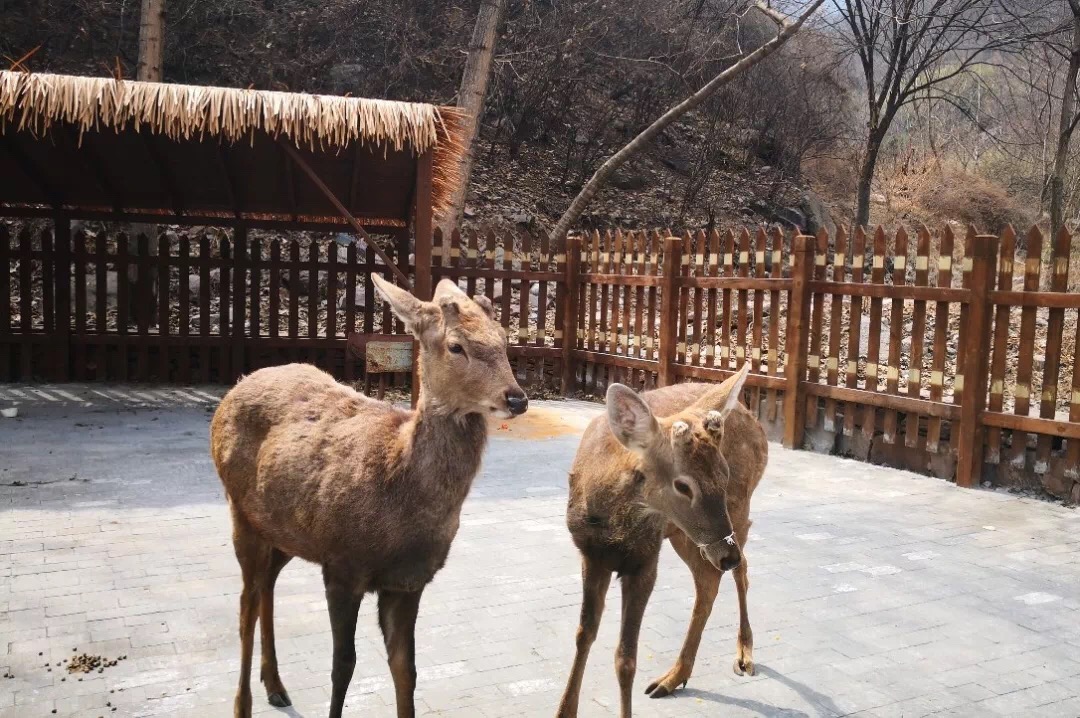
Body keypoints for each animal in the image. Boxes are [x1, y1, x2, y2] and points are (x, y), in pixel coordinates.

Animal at [209, 275, 527, 716]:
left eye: (503, 338)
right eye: (456, 345)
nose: (517, 398)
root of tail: (233, 391)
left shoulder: (408, 581)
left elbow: (406, 669)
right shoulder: (343, 565)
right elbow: (343, 666)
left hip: (286, 530)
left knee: (266, 588)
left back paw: (276, 685)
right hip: (241, 511)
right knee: (245, 604)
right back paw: (244, 703)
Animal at [557, 364, 768, 716]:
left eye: (723, 474)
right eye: (682, 485)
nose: (727, 555)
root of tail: (756, 422)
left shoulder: (646, 558)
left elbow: (625, 658)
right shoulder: (590, 553)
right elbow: (583, 633)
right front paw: (564, 710)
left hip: (734, 509)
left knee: (740, 570)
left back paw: (742, 653)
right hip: (687, 535)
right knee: (712, 579)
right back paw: (674, 677)